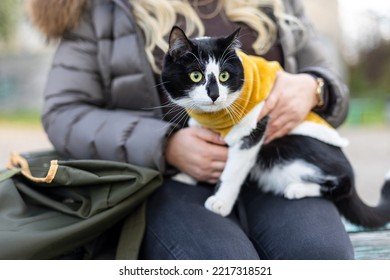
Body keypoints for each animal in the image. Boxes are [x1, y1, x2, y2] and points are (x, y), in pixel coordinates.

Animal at [160, 25, 390, 228]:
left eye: (224, 75)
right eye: (195, 75)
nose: (214, 95)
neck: (213, 118)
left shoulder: (254, 127)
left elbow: (233, 169)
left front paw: (221, 202)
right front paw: (188, 175)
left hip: (293, 148)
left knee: (344, 182)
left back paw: (297, 188)